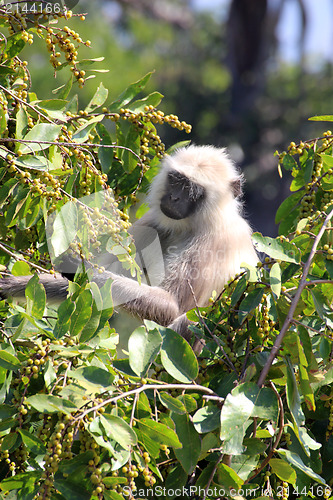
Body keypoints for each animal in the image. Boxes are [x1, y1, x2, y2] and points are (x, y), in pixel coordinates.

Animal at [0, 145, 256, 348]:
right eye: (176, 180)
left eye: (192, 190)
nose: (174, 198)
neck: (191, 225)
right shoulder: (154, 222)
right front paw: (10, 286)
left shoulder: (213, 242)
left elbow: (172, 306)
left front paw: (79, 267)